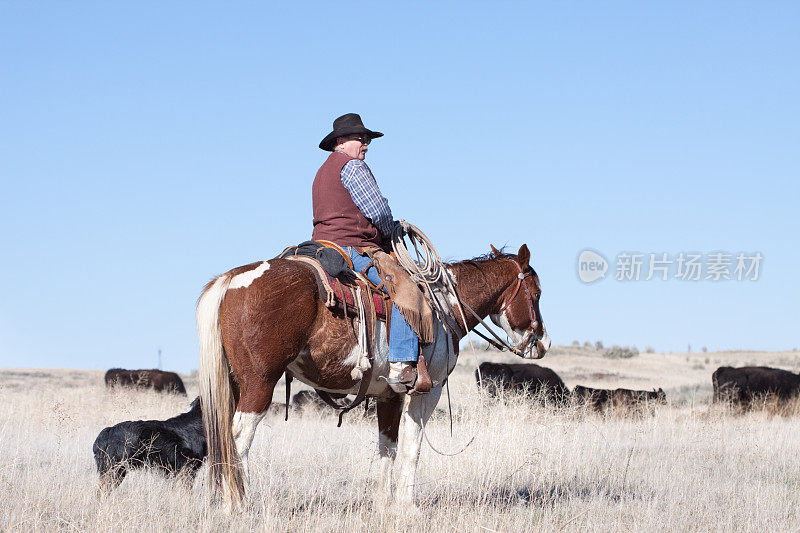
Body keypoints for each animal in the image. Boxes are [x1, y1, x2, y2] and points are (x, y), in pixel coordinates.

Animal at [198, 243, 552, 504]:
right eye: (536, 294)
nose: (543, 342)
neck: (442, 307)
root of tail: (231, 279)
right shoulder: (427, 392)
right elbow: (412, 447)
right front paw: (407, 507)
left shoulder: (389, 395)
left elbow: (388, 447)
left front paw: (384, 504)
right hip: (260, 382)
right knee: (239, 438)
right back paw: (241, 504)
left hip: (235, 383)